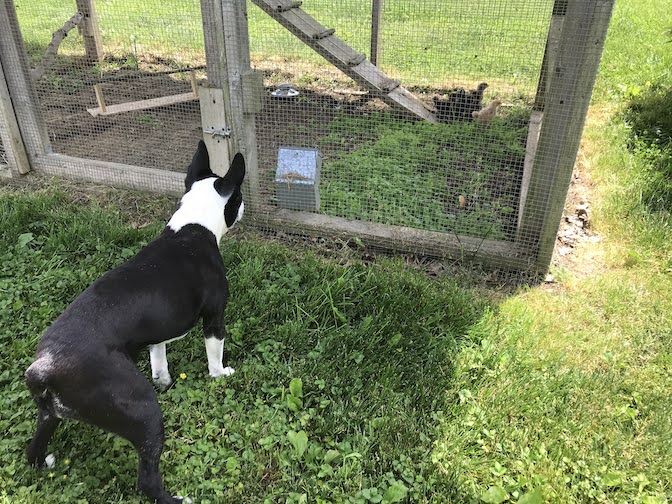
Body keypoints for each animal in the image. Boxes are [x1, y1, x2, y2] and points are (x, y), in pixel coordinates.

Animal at [23, 141, 245, 504]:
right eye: (237, 196)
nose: (243, 208)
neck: (193, 227)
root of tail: (45, 367)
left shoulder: (157, 330)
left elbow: (158, 357)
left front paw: (164, 380)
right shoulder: (215, 316)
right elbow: (215, 352)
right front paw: (221, 374)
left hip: (49, 414)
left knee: (34, 446)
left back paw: (43, 463)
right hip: (142, 411)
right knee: (147, 479)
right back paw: (176, 499)